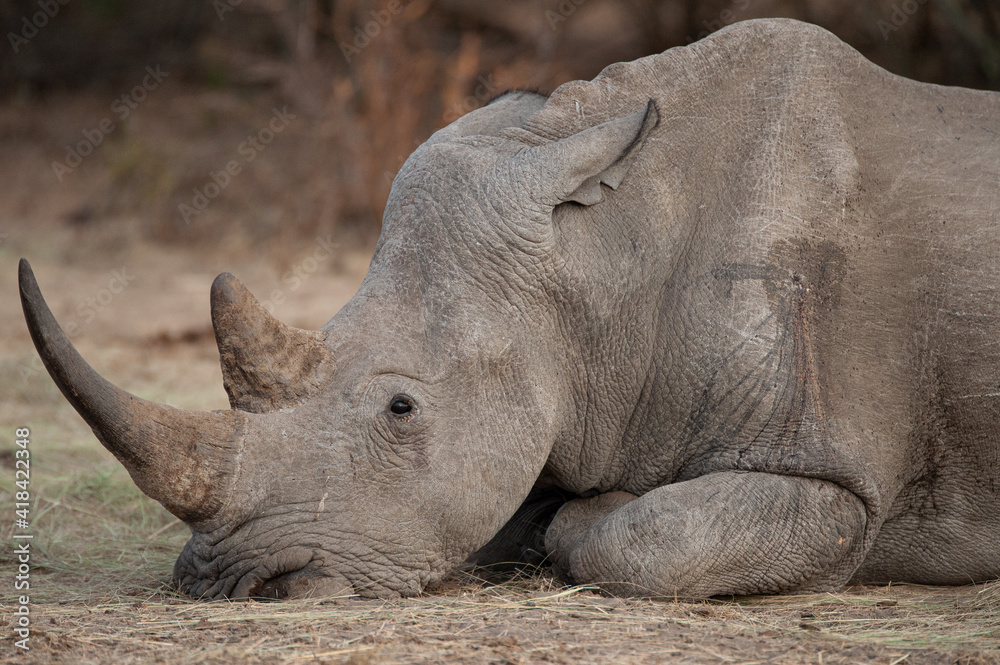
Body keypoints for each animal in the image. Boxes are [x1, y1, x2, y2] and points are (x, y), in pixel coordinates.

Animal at [19, 18, 1000, 600]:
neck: (604, 259)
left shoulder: (834, 475)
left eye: (401, 408)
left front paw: (572, 521)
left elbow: (650, 534)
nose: (227, 582)